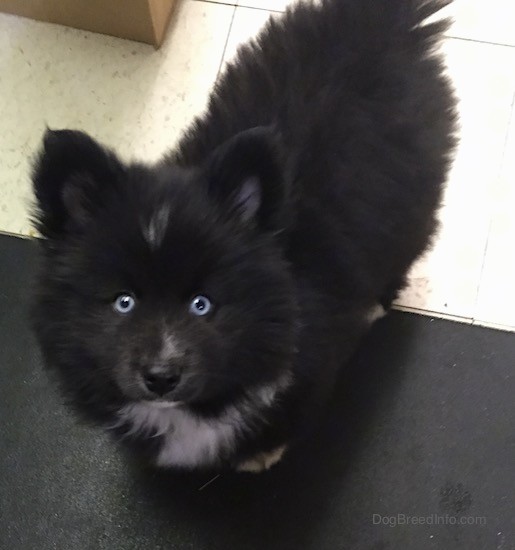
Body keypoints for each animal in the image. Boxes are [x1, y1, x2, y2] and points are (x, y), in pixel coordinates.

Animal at [31, 0, 456, 474]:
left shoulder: (310, 363)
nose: (161, 377)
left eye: (202, 304)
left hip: (417, 195)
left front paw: (260, 453)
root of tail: (379, 19)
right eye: (124, 302)